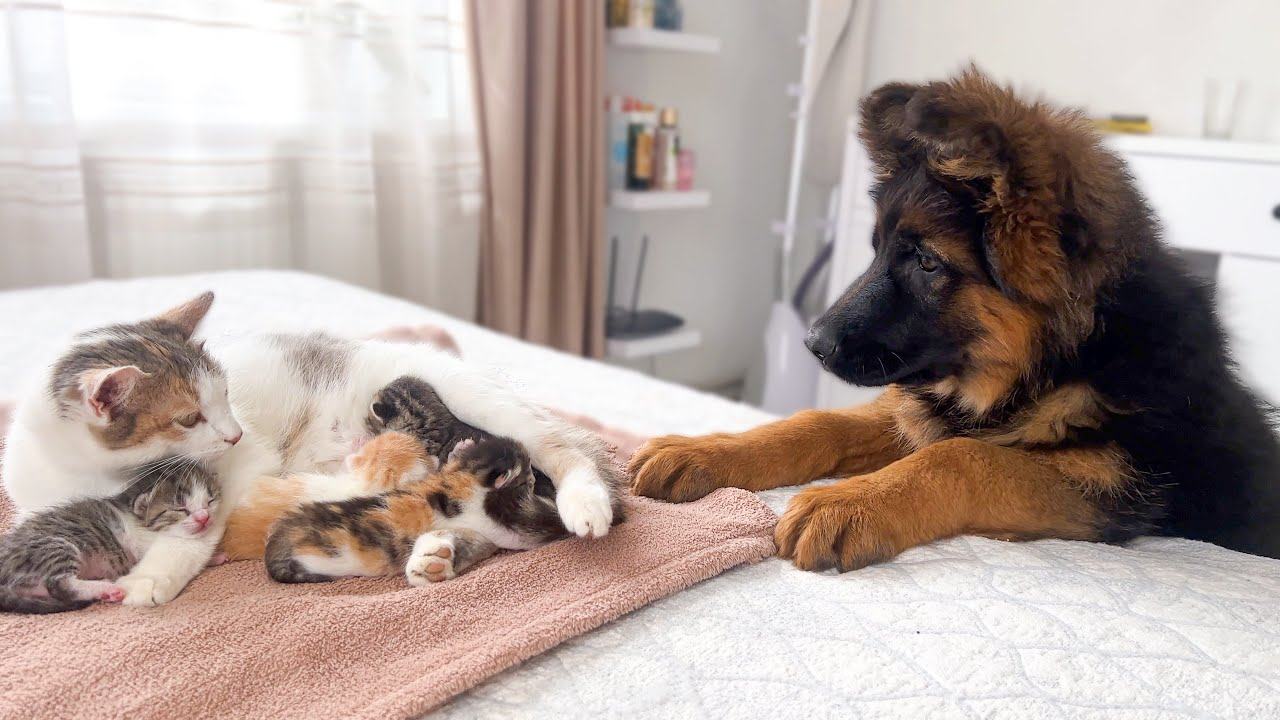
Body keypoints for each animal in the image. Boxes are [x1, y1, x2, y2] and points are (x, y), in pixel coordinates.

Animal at [0, 458, 220, 609]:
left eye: (210, 501)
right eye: (181, 509)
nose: (204, 517)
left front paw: (216, 556)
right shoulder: (140, 543)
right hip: (55, 545)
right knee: (58, 584)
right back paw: (105, 588)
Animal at [629, 68, 1280, 571]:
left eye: (926, 262)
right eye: (876, 249)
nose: (811, 342)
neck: (1064, 356)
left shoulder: (1108, 484)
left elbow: (964, 456)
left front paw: (845, 502)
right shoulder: (918, 410)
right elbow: (818, 422)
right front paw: (706, 449)